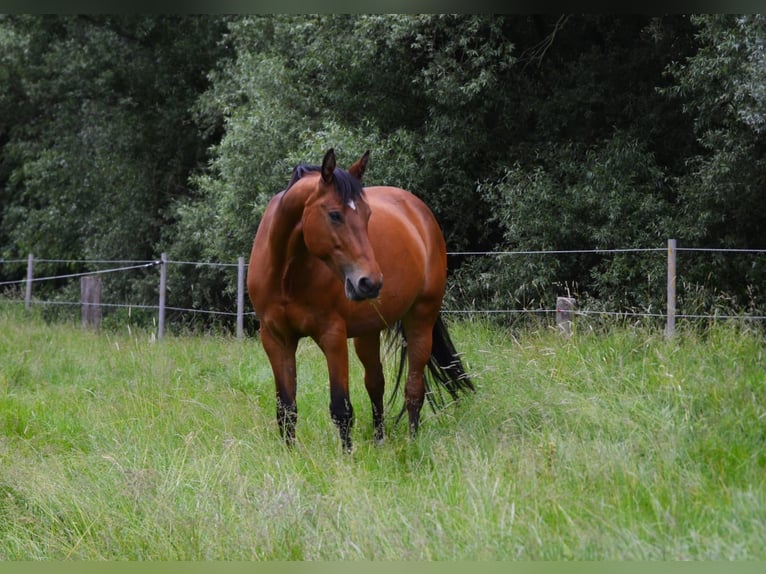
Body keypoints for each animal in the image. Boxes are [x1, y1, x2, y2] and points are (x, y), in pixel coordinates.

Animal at [247, 148, 474, 451]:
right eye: (334, 215)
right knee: (375, 383)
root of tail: (420, 212)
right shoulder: (275, 339)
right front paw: (289, 454)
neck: (286, 272)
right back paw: (379, 442)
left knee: (414, 390)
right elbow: (286, 409)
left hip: (421, 319)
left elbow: (341, 409)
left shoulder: (332, 335)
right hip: (368, 332)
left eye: (368, 216)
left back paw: (412, 443)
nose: (370, 282)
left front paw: (347, 456)